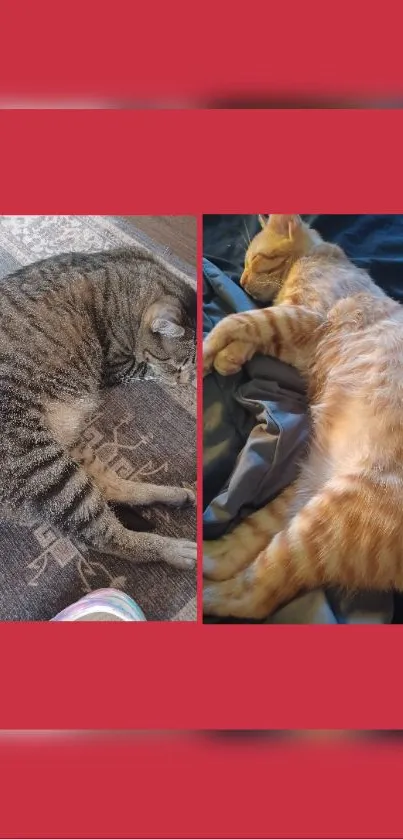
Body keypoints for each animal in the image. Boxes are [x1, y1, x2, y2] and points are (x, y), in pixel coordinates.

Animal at [0, 246, 197, 568]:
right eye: (176, 365)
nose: (183, 380)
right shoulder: (117, 367)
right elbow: (147, 368)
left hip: (66, 450)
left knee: (110, 485)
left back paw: (173, 495)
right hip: (41, 464)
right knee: (108, 536)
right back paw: (173, 550)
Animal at [204, 213, 403, 620]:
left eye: (256, 259)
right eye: (243, 263)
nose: (240, 281)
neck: (316, 256)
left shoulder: (306, 316)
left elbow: (241, 320)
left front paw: (209, 351)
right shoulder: (298, 343)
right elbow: (255, 329)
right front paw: (228, 357)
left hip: (329, 520)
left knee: (255, 595)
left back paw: (204, 596)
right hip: (302, 494)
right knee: (237, 550)